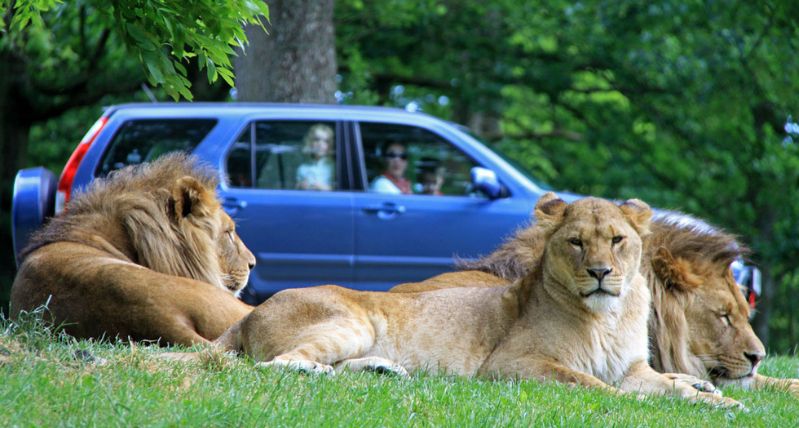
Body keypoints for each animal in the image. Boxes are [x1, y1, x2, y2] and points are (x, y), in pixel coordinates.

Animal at [191, 194, 740, 408]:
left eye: (618, 240)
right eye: (577, 242)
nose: (601, 272)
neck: (608, 317)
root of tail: (251, 313)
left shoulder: (633, 367)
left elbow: (665, 383)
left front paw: (717, 398)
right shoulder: (512, 365)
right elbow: (593, 385)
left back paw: (385, 370)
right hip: (353, 322)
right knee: (278, 365)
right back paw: (321, 371)